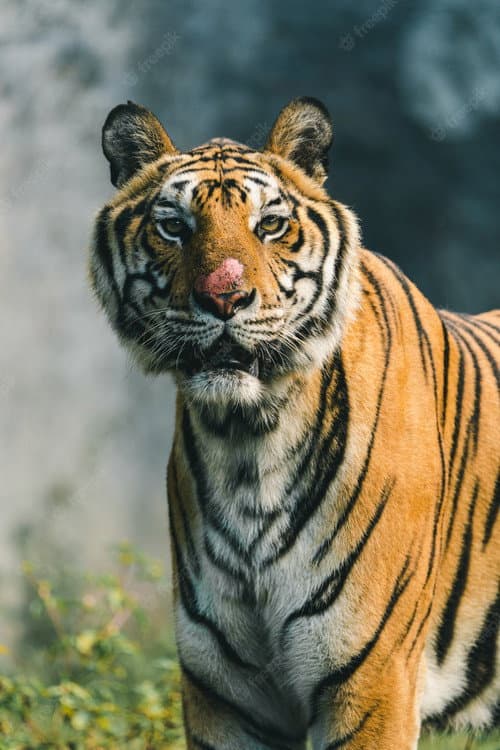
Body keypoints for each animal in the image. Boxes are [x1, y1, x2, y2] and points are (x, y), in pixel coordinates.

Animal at [89, 97, 499, 749]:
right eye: (174, 226)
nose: (224, 298)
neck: (246, 442)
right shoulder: (223, 695)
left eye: (271, 225)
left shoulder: (373, 680)